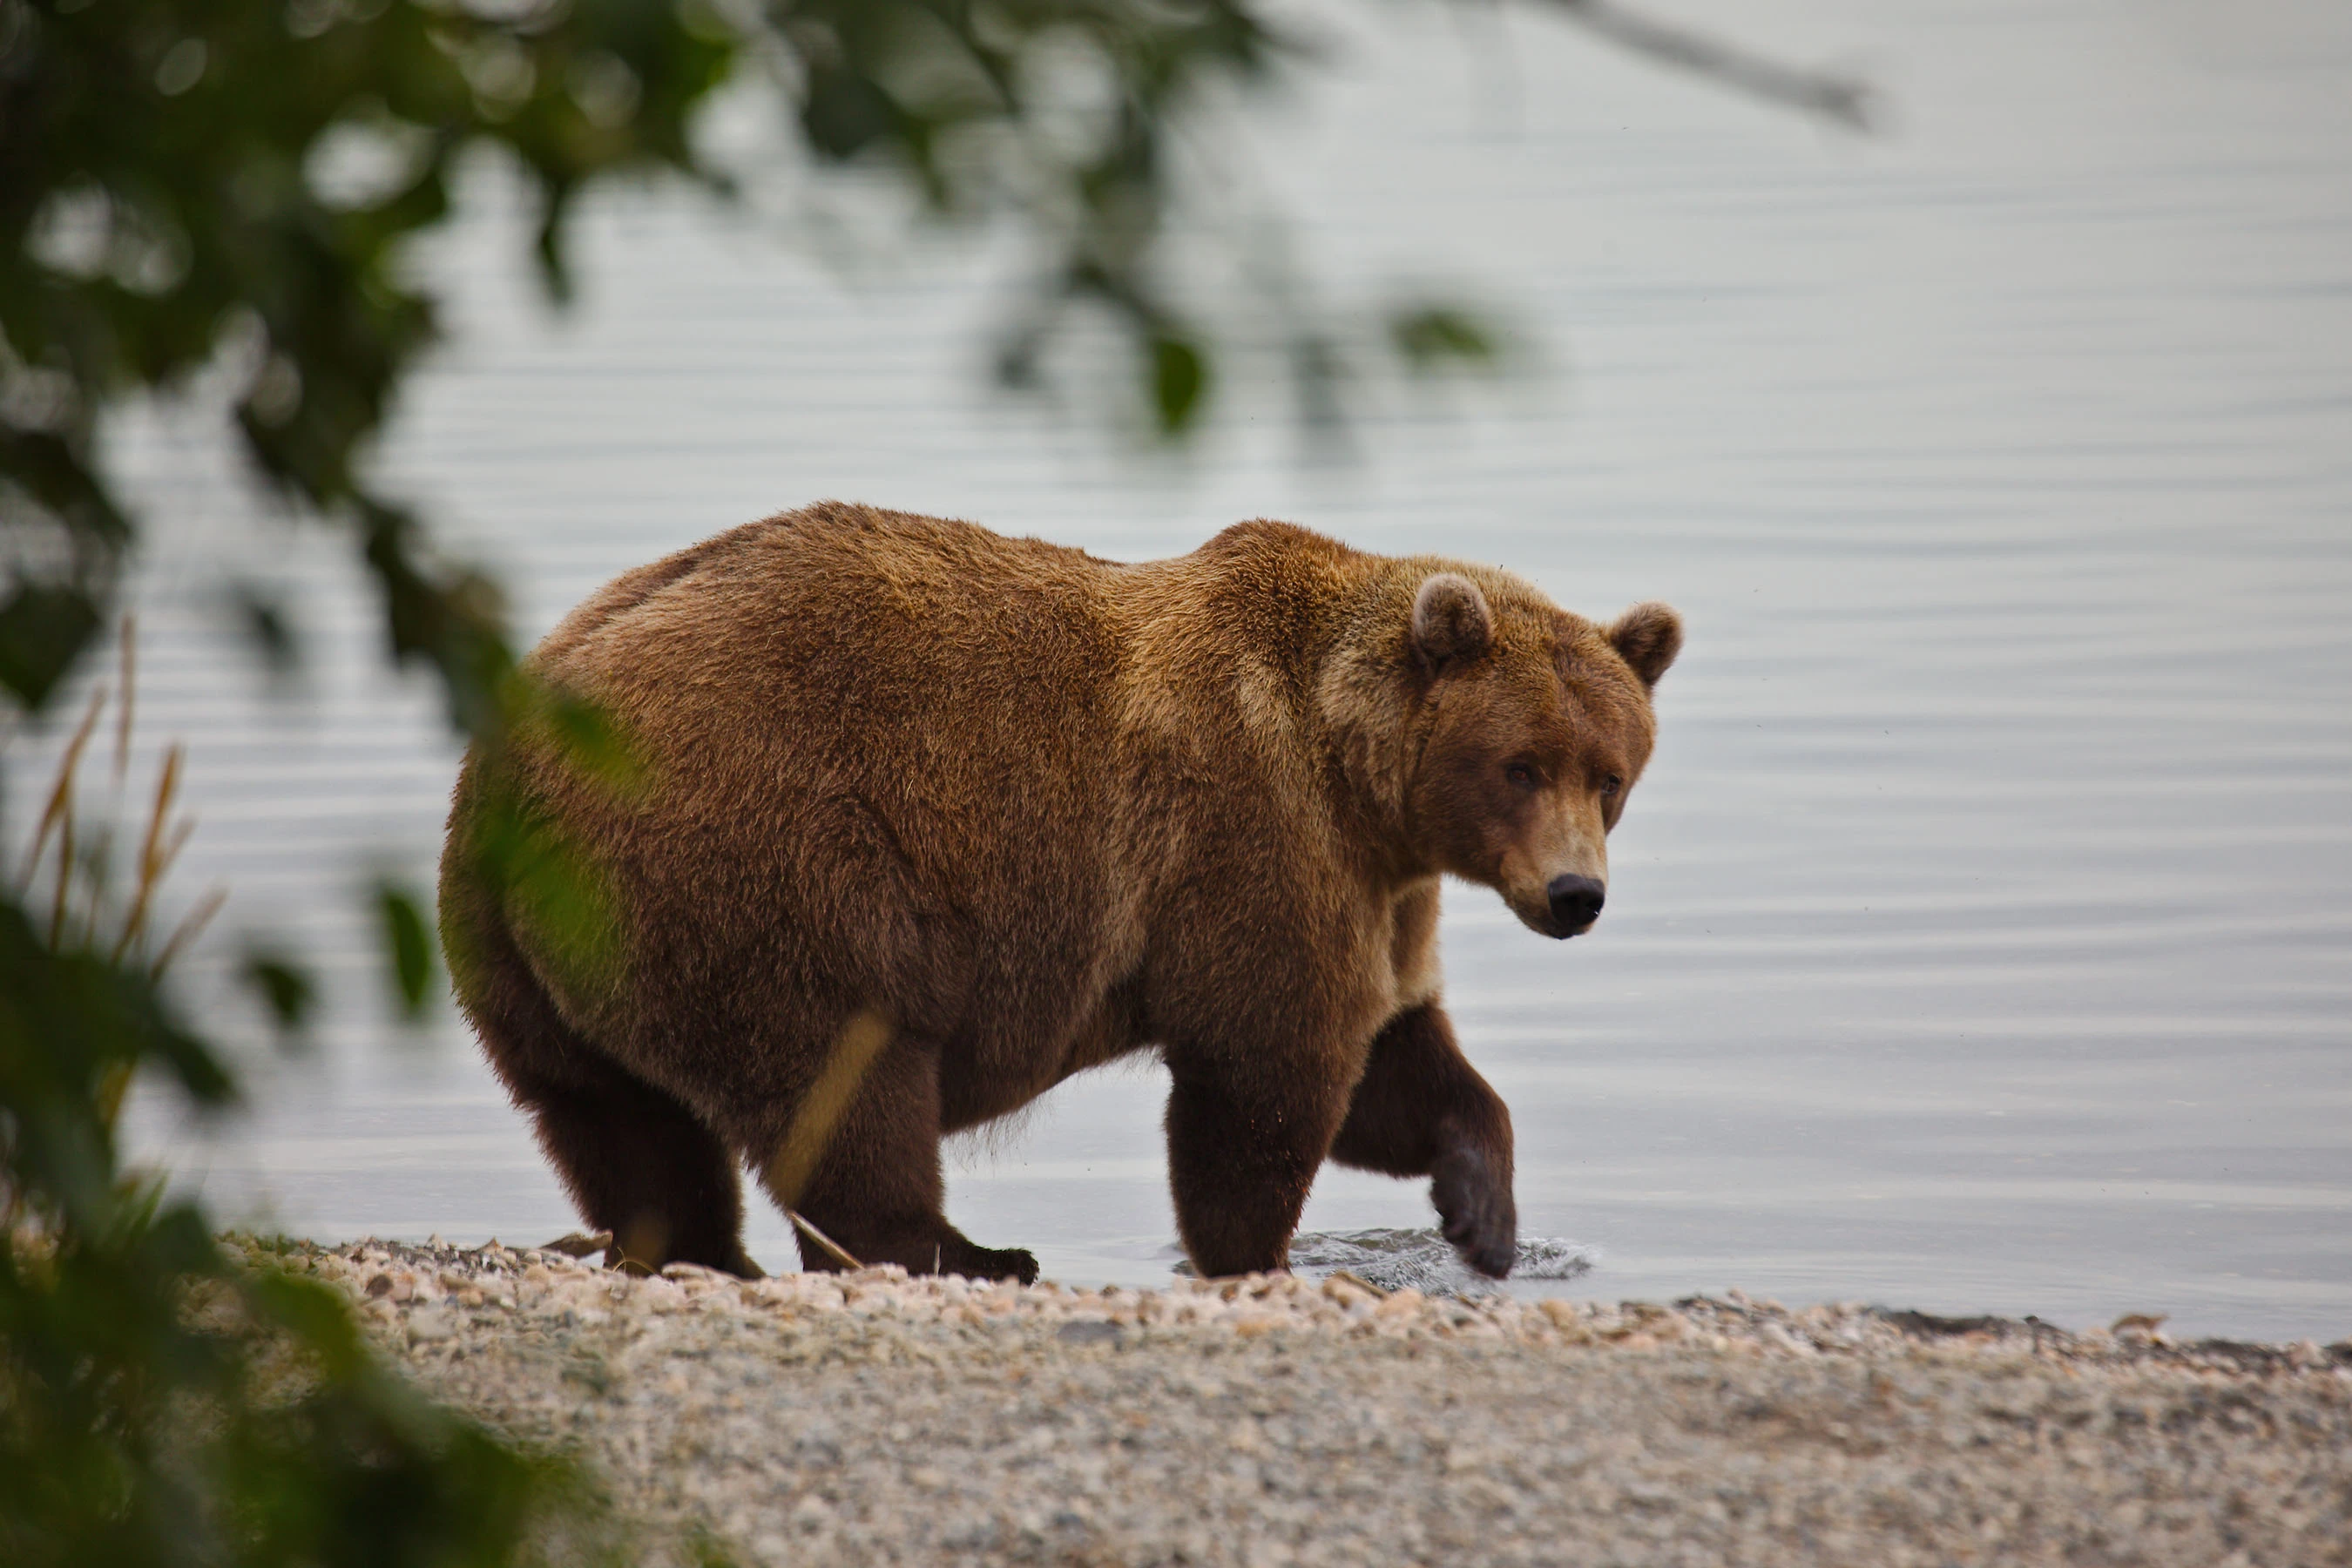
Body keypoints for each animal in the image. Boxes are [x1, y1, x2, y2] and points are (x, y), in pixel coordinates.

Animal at [438, 502, 1680, 1284]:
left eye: (1610, 773)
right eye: (1520, 766)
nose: (1576, 894)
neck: (1358, 779)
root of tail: (520, 747)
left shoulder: (1380, 893)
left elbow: (1398, 1062)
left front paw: (1484, 1217)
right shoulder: (1256, 840)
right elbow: (1269, 1075)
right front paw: (1254, 1253)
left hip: (532, 950)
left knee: (616, 1119)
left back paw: (699, 1248)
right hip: (770, 862)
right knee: (846, 1075)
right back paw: (971, 1252)